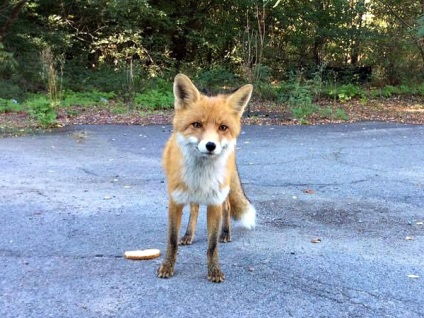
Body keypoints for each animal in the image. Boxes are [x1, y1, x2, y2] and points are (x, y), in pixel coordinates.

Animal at [157, 73, 253, 282]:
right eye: (197, 125)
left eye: (223, 127)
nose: (211, 146)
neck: (201, 174)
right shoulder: (175, 201)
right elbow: (172, 240)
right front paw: (167, 266)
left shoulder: (214, 202)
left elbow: (212, 244)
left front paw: (214, 270)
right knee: (194, 209)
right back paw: (189, 234)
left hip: (223, 191)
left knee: (227, 207)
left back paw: (225, 233)